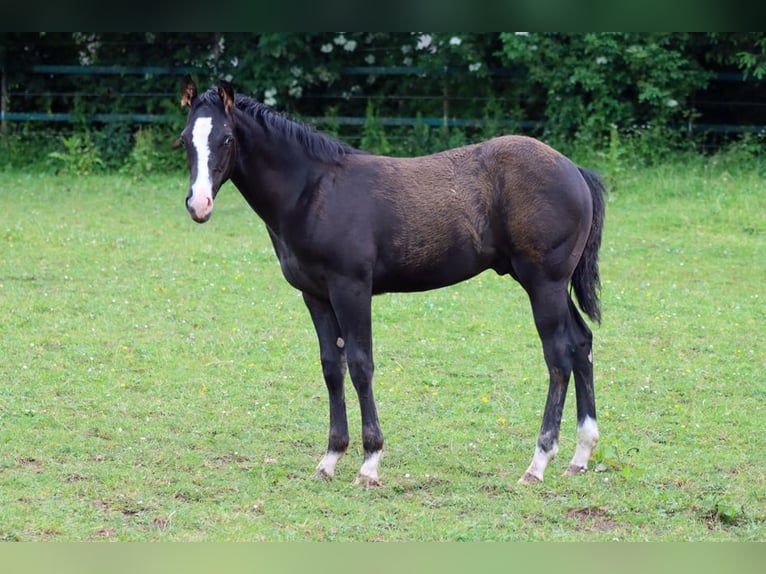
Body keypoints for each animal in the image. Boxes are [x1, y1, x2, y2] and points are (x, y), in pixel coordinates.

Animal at [178, 75, 606, 486]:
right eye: (184, 140)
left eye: (226, 138)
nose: (199, 205)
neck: (313, 191)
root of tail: (576, 171)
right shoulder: (315, 295)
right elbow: (331, 367)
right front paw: (330, 458)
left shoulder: (351, 288)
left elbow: (360, 364)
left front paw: (370, 462)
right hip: (548, 284)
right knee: (581, 343)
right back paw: (580, 456)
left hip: (544, 283)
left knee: (558, 356)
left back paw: (539, 462)